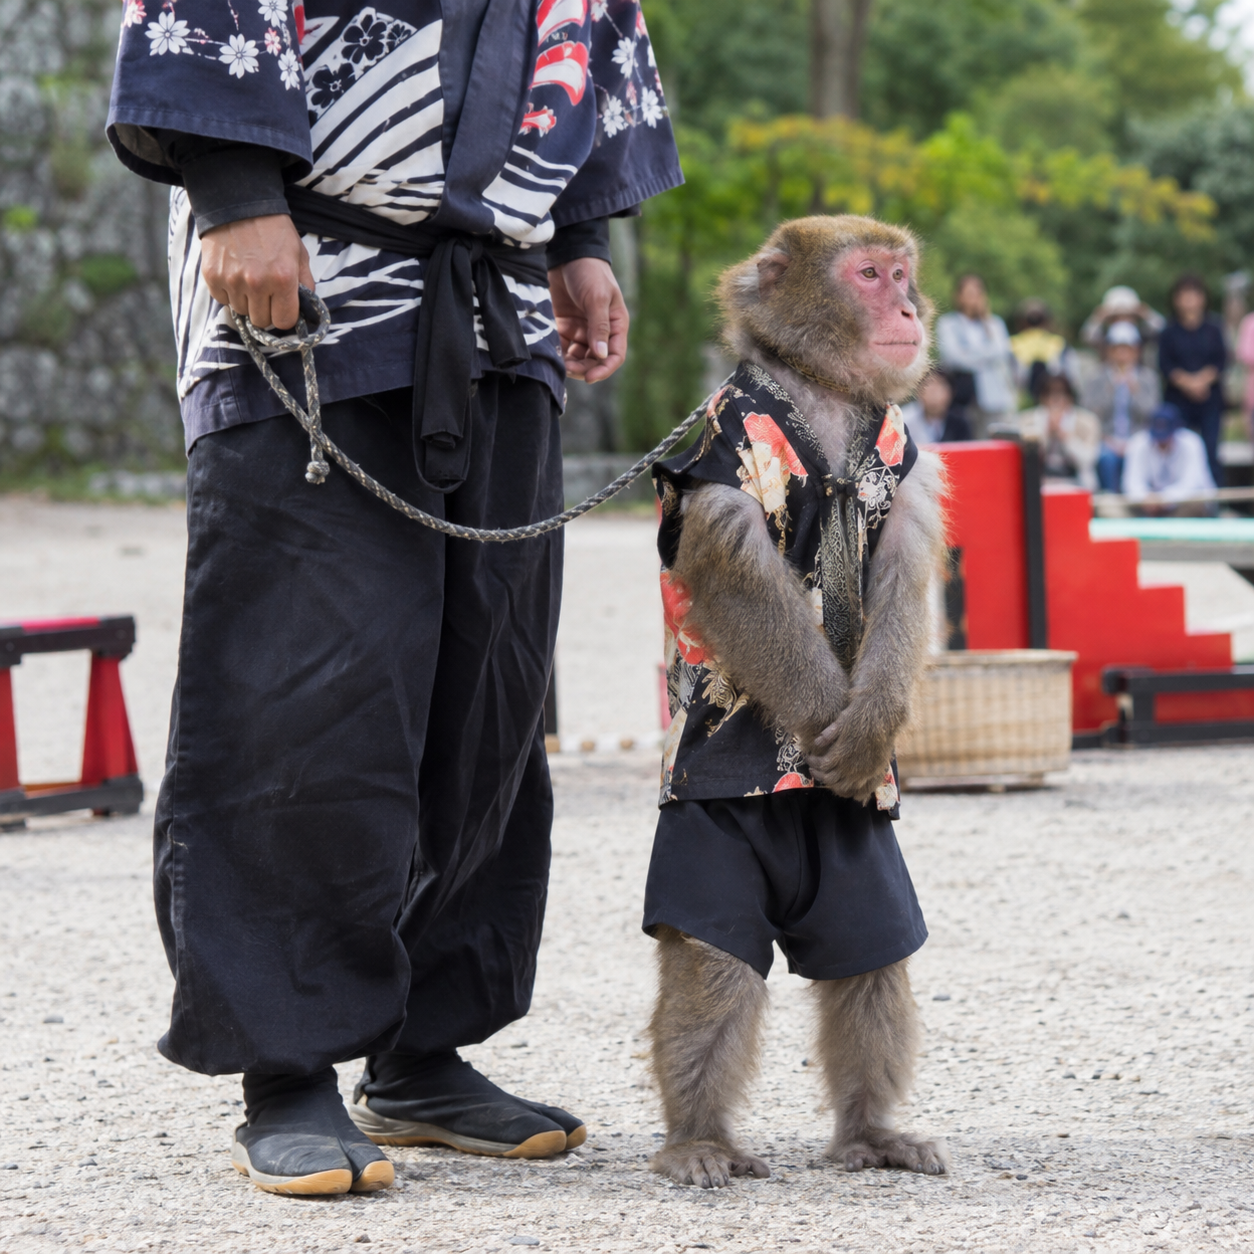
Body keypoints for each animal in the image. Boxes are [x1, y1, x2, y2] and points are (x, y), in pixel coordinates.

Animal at [642, 214, 949, 1189]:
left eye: (900, 272)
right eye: (868, 275)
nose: (907, 308)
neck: (822, 388)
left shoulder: (905, 455)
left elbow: (900, 572)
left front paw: (866, 731)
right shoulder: (718, 450)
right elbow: (741, 581)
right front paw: (828, 724)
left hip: (858, 868)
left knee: (871, 958)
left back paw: (868, 1134)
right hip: (708, 844)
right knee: (713, 967)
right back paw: (698, 1139)